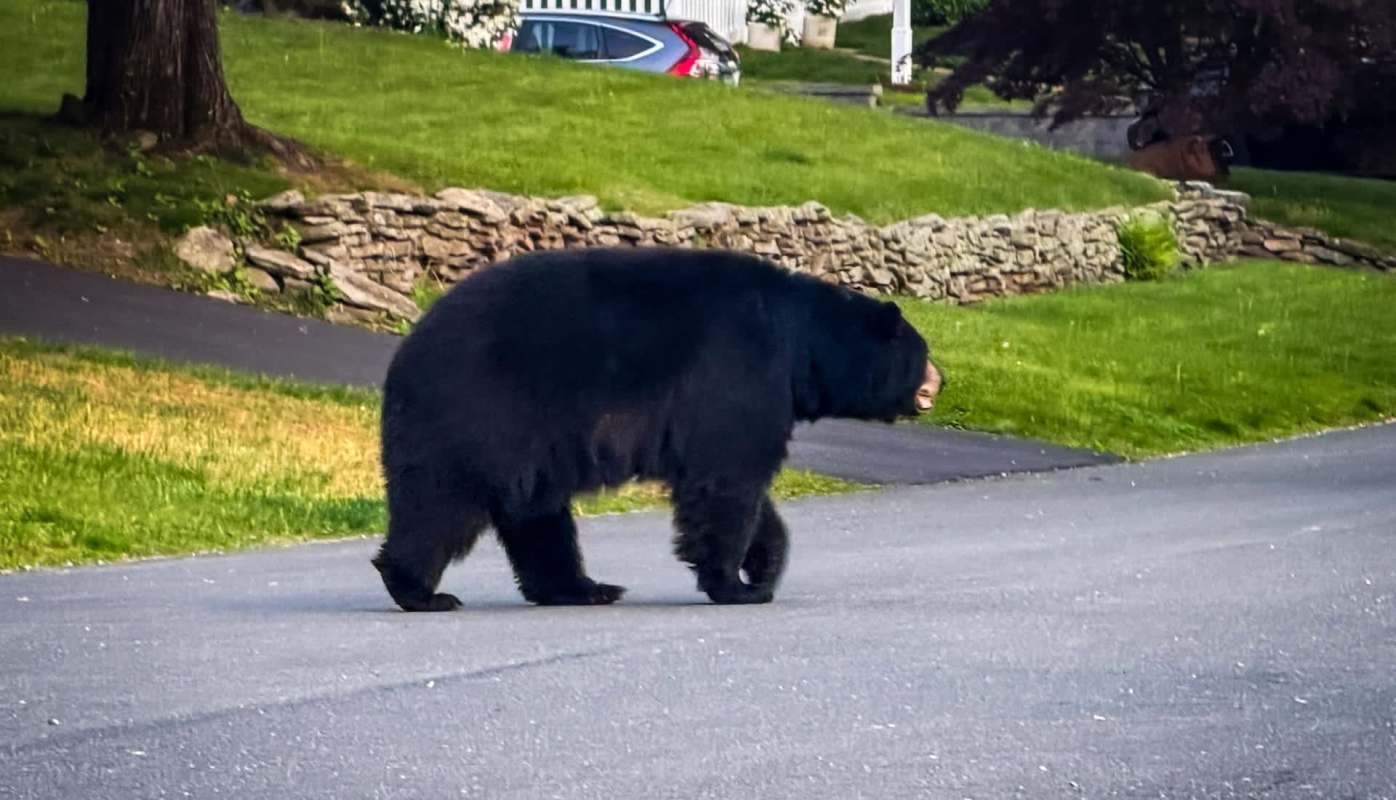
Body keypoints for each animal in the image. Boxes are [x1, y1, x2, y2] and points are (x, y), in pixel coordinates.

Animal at [372, 247, 942, 611]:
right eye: (924, 351)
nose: (942, 378)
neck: (801, 345)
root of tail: (407, 348)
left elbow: (732, 484)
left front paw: (762, 567)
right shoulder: (742, 368)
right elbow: (728, 479)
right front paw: (734, 585)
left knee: (536, 513)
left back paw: (583, 588)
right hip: (479, 411)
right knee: (442, 502)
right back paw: (419, 590)